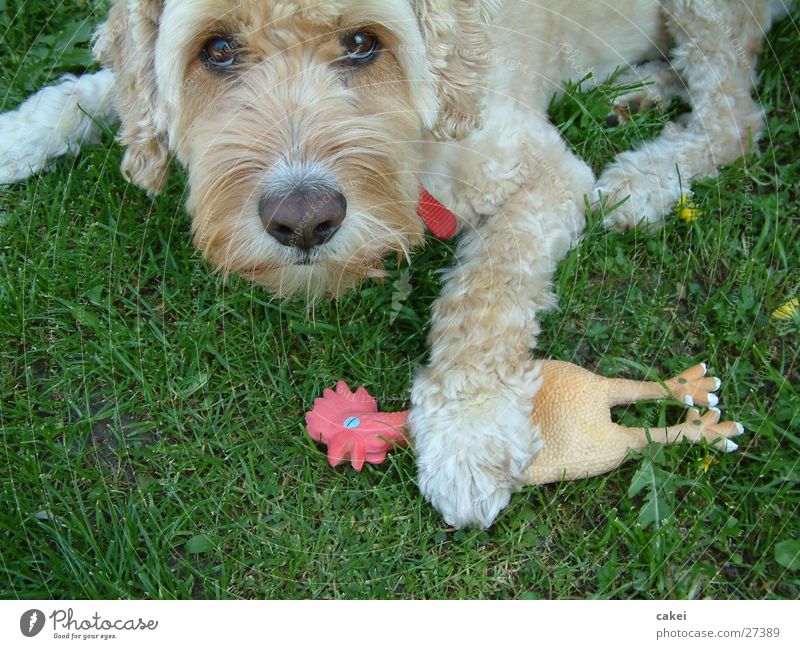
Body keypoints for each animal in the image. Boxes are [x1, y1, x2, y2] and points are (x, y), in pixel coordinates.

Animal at [0, 1, 788, 528]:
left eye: (362, 43)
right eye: (216, 49)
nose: (304, 219)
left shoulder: (540, 174)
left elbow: (487, 294)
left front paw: (468, 431)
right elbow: (97, 86)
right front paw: (17, 136)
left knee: (734, 116)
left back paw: (645, 179)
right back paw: (636, 93)